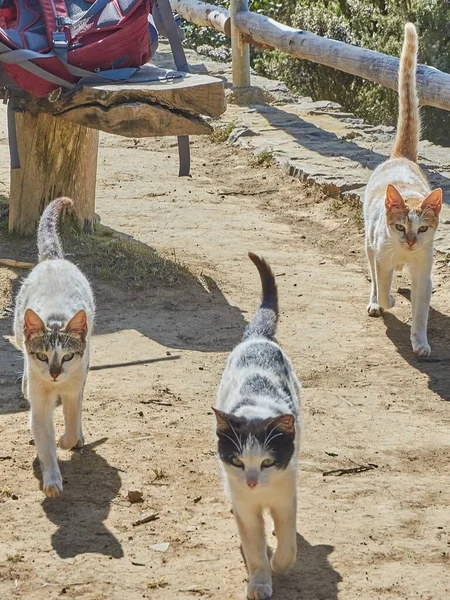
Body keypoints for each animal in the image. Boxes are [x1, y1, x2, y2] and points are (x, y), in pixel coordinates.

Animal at [13, 197, 94, 496]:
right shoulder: (39, 402)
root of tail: (54, 260)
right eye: (42, 356)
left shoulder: (73, 387)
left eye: (67, 356)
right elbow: (44, 441)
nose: (55, 373)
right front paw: (51, 481)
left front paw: (68, 440)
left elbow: (70, 424)